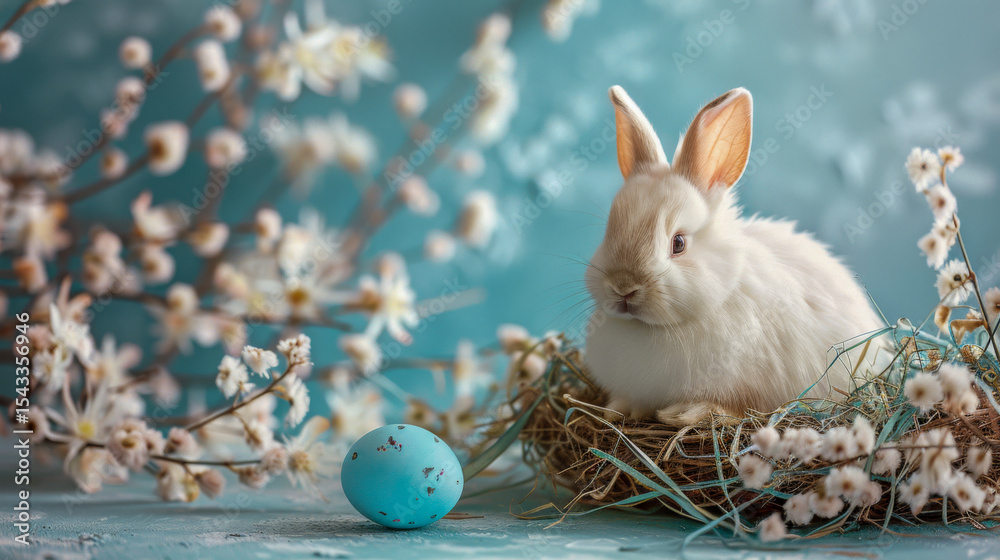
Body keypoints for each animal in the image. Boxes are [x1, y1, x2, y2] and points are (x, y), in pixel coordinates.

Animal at [583, 85, 888, 427]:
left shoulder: (748, 391)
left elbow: (734, 408)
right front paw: (619, 409)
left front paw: (683, 414)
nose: (623, 287)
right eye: (608, 232)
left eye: (678, 243)